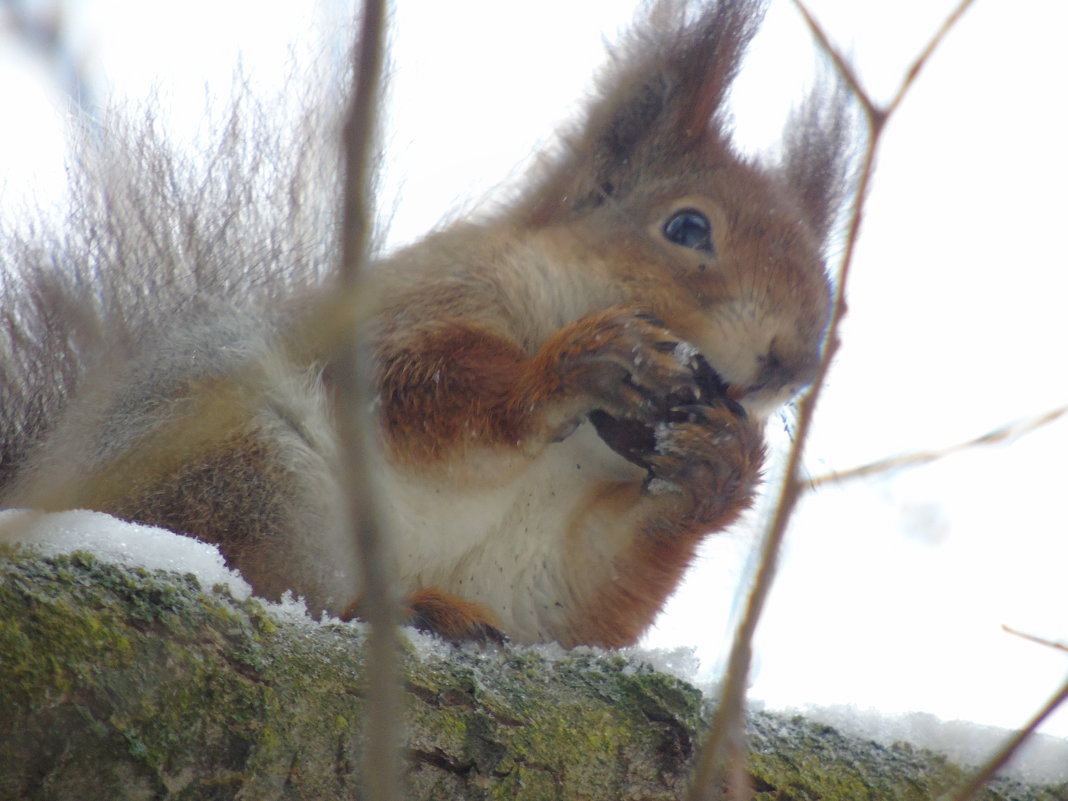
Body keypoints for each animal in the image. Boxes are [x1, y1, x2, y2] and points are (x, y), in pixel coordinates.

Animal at [0, 0, 850, 649]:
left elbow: (580, 594)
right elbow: (421, 393)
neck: (576, 455)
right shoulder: (404, 313)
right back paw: (404, 607)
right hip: (230, 458)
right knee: (270, 581)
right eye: (686, 228)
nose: (794, 363)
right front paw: (572, 365)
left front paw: (721, 466)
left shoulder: (536, 566)